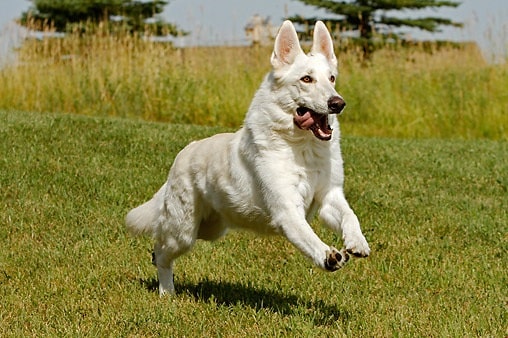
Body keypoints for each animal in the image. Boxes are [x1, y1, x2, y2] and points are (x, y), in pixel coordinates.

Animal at [128, 21, 370, 296]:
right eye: (306, 79)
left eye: (331, 79)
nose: (338, 103)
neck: (301, 148)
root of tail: (185, 151)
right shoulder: (287, 210)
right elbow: (309, 238)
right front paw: (327, 256)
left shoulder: (329, 197)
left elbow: (350, 215)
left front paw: (357, 241)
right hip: (183, 232)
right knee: (161, 251)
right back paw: (166, 292)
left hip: (209, 229)